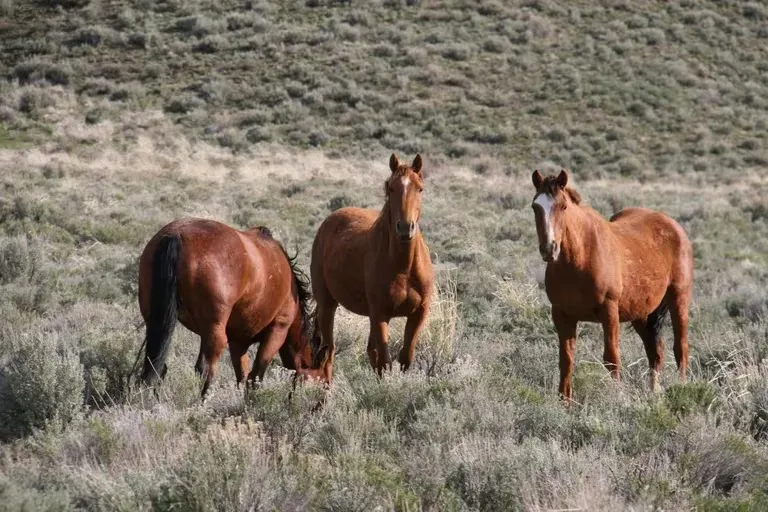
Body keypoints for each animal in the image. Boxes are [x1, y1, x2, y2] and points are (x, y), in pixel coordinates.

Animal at [137, 218, 322, 398]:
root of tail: (177, 234)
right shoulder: (277, 331)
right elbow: (255, 377)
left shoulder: (237, 343)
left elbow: (242, 376)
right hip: (214, 331)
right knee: (205, 369)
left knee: (156, 365)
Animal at [310, 153, 434, 381]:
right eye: (390, 188)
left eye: (420, 188)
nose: (405, 228)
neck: (404, 268)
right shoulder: (380, 314)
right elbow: (385, 361)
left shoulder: (418, 313)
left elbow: (405, 357)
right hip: (327, 305)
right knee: (328, 352)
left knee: (370, 352)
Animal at [530, 169, 693, 402]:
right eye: (535, 206)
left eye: (563, 206)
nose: (549, 249)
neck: (580, 258)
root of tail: (673, 226)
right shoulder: (562, 315)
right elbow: (566, 360)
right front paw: (565, 403)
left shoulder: (609, 311)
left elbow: (612, 358)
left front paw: (617, 399)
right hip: (642, 314)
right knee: (656, 352)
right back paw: (654, 392)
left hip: (679, 298)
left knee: (680, 348)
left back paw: (682, 388)